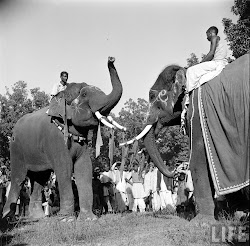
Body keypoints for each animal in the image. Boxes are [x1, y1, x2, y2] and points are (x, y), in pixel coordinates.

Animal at [1, 56, 123, 222]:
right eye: (84, 95)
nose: (111, 58)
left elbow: (84, 167)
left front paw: (89, 219)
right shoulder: (55, 139)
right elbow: (64, 168)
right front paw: (66, 219)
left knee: (40, 180)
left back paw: (39, 218)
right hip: (16, 149)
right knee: (18, 178)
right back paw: (8, 218)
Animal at [120, 53, 248, 219]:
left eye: (152, 96)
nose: (176, 171)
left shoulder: (196, 115)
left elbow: (197, 158)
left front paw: (202, 220)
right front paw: (234, 213)